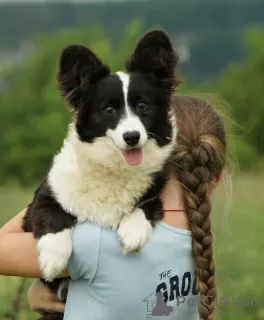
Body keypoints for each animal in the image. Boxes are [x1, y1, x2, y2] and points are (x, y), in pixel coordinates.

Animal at [23, 29, 179, 318]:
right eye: (109, 110)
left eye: (143, 106)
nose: (132, 137)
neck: (114, 168)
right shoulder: (43, 199)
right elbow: (53, 216)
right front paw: (53, 259)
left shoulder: (155, 194)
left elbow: (145, 206)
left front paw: (133, 232)